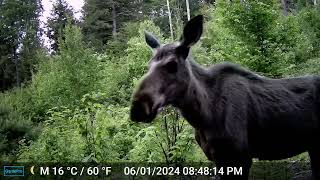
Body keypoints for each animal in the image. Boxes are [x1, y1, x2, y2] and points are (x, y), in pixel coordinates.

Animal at [129, 14, 318, 179]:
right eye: (148, 66)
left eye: (172, 65)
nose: (138, 108)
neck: (202, 116)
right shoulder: (218, 159)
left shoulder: (240, 157)